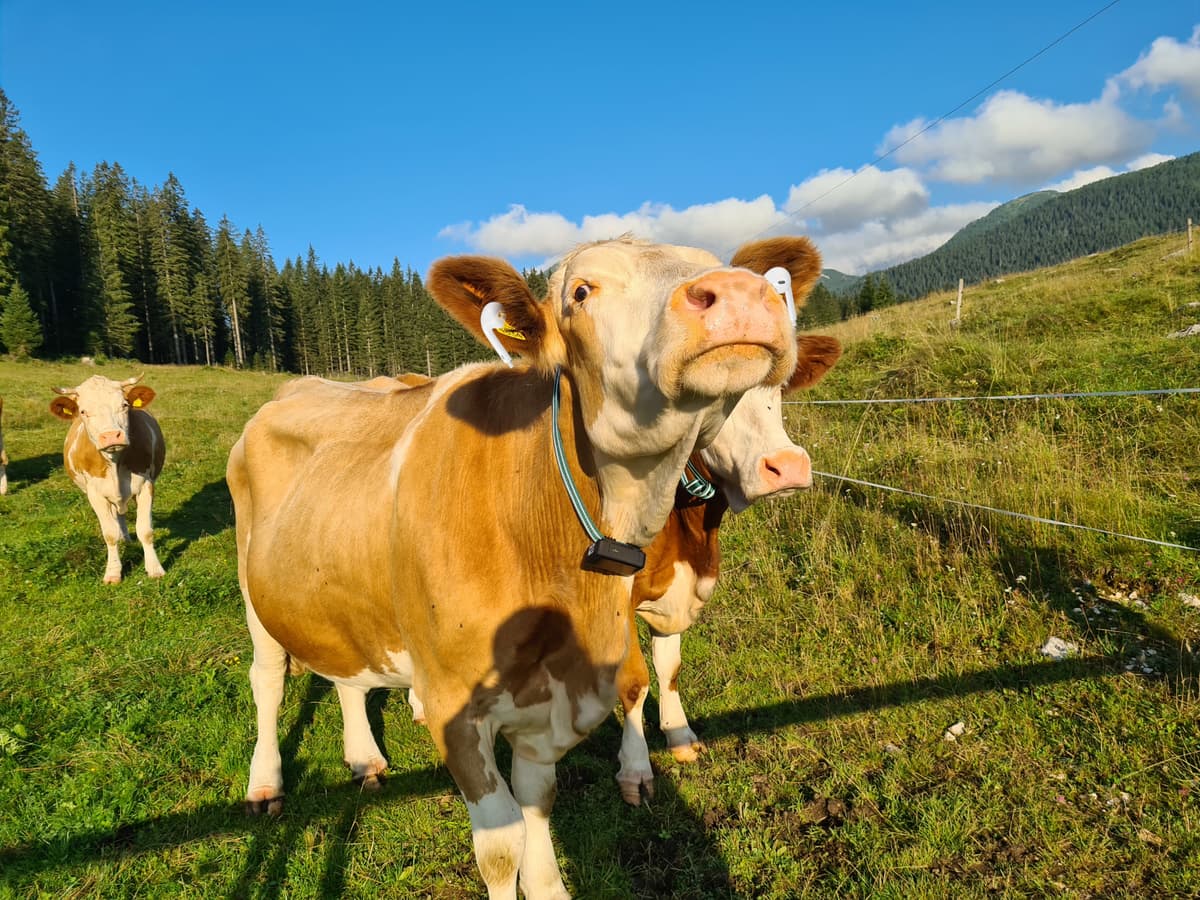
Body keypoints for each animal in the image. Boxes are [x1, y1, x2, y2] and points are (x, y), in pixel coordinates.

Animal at [49, 374, 166, 584]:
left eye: (124, 405)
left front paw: (154, 568)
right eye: (83, 411)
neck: (115, 463)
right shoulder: (95, 494)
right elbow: (109, 534)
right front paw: (113, 573)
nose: (111, 436)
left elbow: (145, 530)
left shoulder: (146, 485)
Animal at [615, 334, 842, 805]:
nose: (787, 467)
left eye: (781, 386)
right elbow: (633, 680)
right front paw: (636, 769)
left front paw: (679, 736)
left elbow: (669, 666)